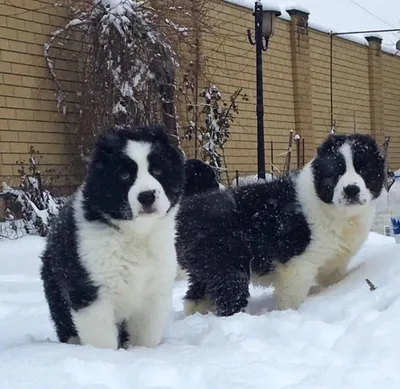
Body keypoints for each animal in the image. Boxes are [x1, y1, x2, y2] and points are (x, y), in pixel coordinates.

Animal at [40, 125, 184, 348]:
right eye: (124, 175)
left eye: (158, 170)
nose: (147, 196)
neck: (135, 235)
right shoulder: (91, 294)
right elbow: (101, 340)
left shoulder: (154, 293)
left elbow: (146, 337)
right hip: (56, 288)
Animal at [177, 133, 384, 316]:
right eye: (336, 173)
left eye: (364, 170)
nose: (351, 190)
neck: (334, 210)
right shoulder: (298, 265)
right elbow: (291, 299)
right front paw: (290, 313)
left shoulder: (335, 263)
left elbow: (333, 280)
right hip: (226, 265)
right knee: (229, 299)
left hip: (203, 268)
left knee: (194, 298)